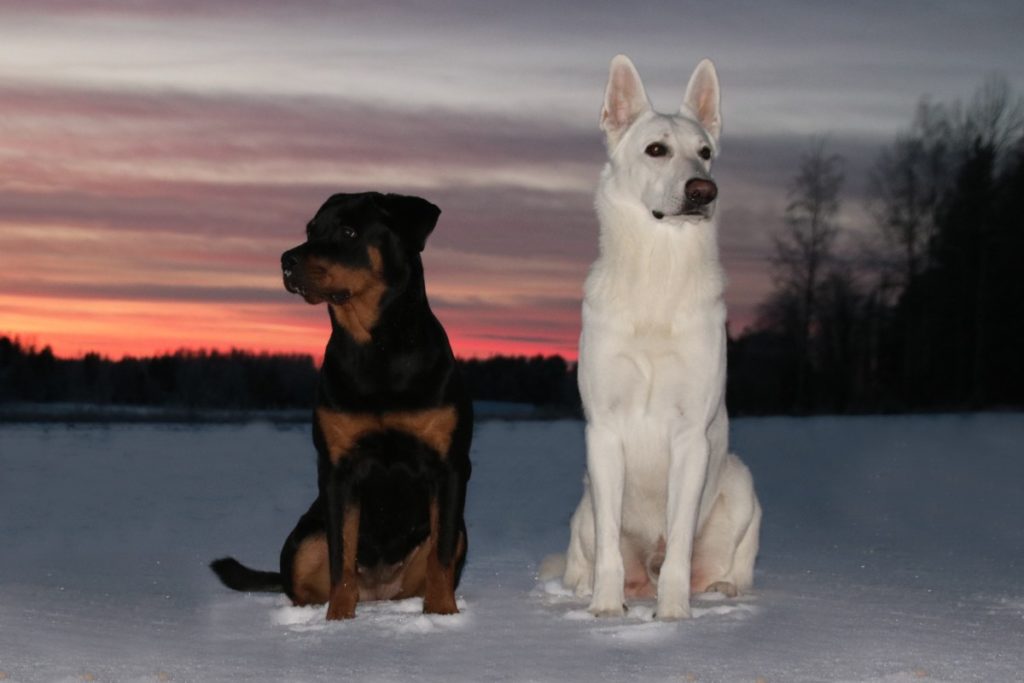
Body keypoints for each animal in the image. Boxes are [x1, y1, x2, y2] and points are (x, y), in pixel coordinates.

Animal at [215, 191, 475, 618]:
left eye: (349, 232)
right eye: (310, 230)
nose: (286, 260)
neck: (376, 348)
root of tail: (379, 592)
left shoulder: (449, 465)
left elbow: (440, 556)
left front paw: (441, 614)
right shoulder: (338, 469)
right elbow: (341, 555)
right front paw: (338, 620)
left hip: (460, 534)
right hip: (304, 537)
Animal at [561, 53, 761, 618]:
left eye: (706, 153)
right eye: (657, 149)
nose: (703, 190)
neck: (658, 270)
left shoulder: (691, 435)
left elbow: (678, 550)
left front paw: (672, 617)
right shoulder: (604, 431)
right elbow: (609, 549)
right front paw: (606, 611)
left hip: (741, 483)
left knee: (721, 568)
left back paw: (721, 592)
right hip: (583, 505)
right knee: (584, 559)